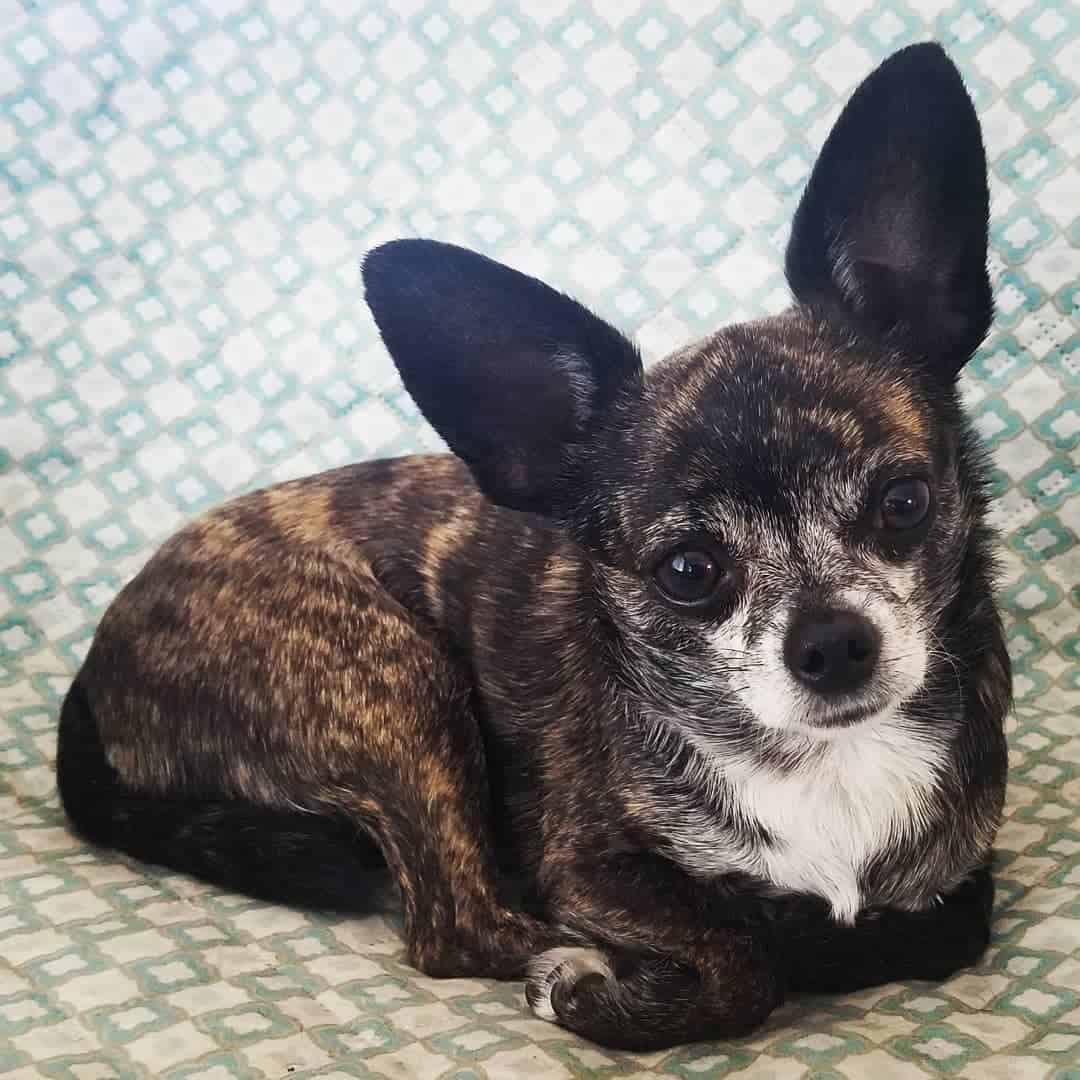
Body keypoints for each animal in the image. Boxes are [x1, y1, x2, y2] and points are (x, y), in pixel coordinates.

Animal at [54, 46, 1006, 1049]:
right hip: (395, 681)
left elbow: (935, 932)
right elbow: (748, 958)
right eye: (688, 572)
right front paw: (620, 990)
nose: (832, 643)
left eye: (904, 504)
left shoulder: (963, 876)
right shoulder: (585, 865)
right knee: (453, 925)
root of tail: (99, 657)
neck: (822, 764)